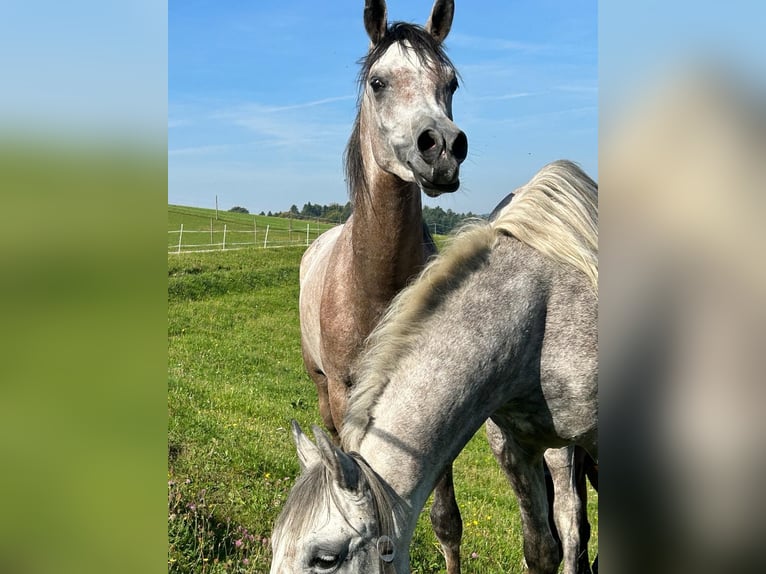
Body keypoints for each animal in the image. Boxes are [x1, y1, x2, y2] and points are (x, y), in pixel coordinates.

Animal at [300, 2, 468, 572]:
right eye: (378, 82)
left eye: (451, 83)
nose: (443, 146)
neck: (374, 285)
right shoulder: (345, 396)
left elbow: (446, 520)